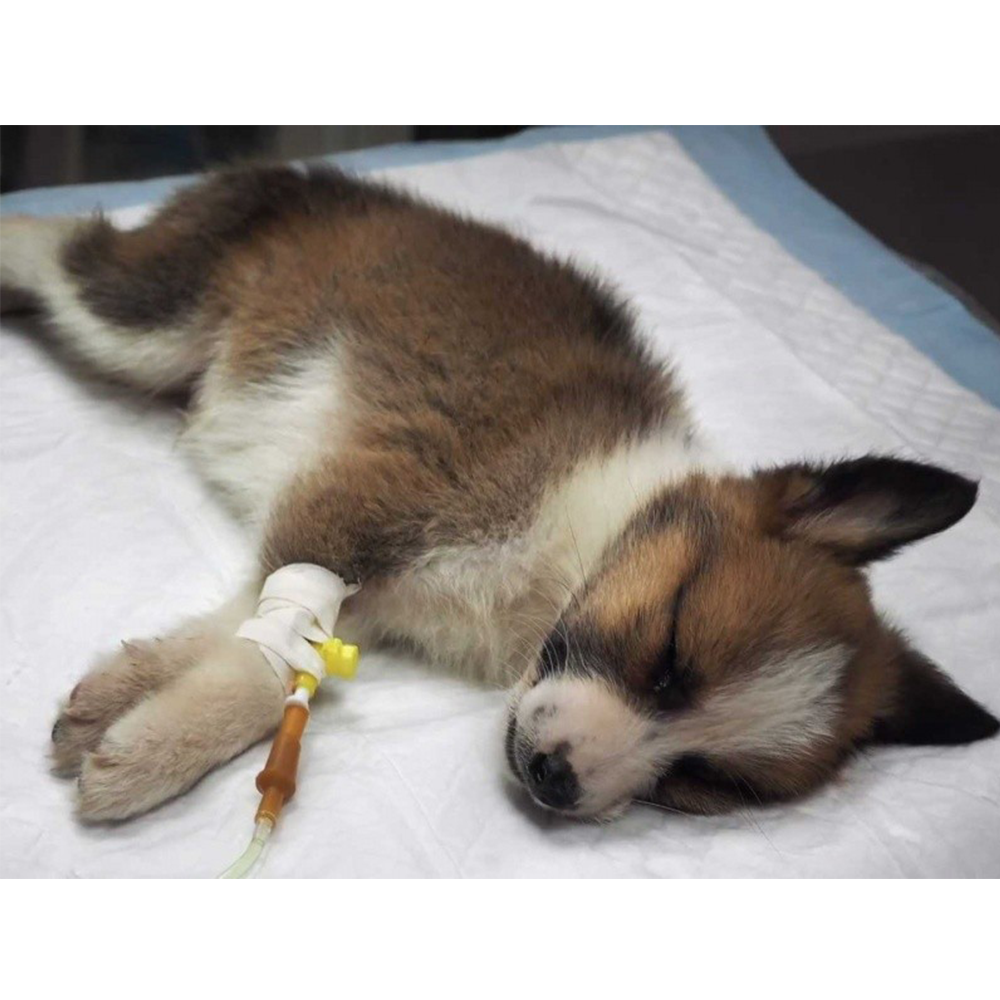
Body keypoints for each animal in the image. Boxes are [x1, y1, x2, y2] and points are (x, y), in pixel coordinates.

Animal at [3, 164, 996, 820]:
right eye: (670, 649)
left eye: (705, 782)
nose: (557, 778)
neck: (581, 539)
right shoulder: (375, 493)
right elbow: (272, 644)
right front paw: (153, 750)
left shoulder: (369, 581)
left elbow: (257, 643)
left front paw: (129, 699)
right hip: (144, 315)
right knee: (60, 244)